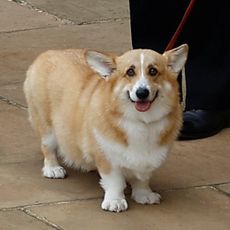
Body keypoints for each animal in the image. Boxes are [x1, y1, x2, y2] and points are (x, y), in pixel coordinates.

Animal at [23, 44, 189, 212]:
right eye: (130, 72)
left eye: (153, 71)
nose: (142, 93)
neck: (142, 121)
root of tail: (47, 53)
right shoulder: (107, 156)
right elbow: (114, 182)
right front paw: (115, 201)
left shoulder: (149, 158)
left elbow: (142, 179)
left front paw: (144, 195)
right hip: (47, 127)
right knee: (47, 148)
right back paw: (53, 168)